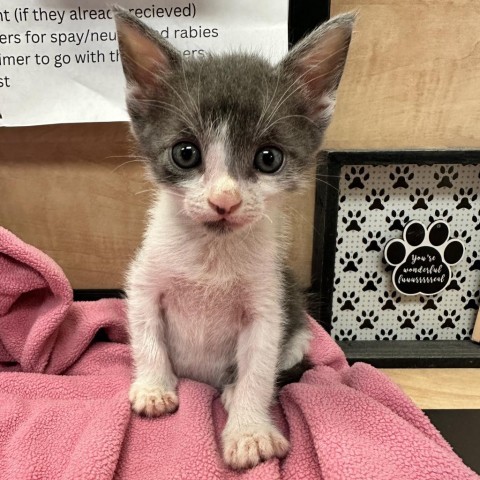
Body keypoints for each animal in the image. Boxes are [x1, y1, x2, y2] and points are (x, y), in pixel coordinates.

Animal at [114, 8, 354, 468]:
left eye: (269, 158)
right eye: (185, 153)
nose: (224, 199)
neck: (212, 253)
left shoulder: (268, 305)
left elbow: (259, 370)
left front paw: (249, 431)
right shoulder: (145, 280)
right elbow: (146, 331)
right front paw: (154, 387)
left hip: (297, 325)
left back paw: (230, 390)